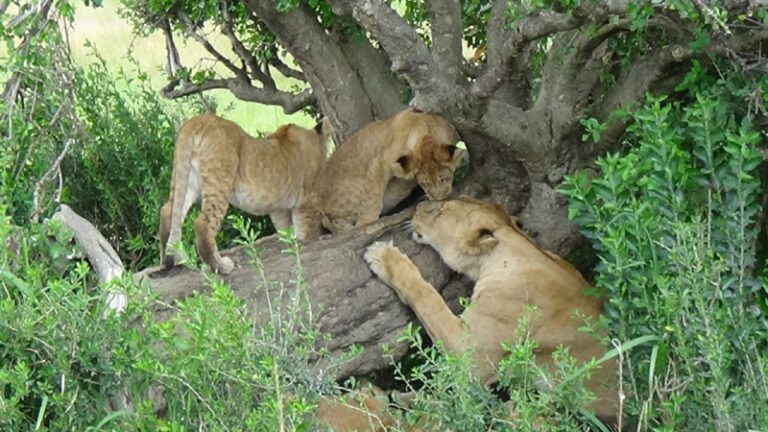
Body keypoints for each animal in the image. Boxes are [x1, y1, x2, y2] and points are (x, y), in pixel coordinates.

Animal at [159, 114, 332, 274]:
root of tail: (196, 120)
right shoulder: (307, 200)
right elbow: (305, 231)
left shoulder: (279, 208)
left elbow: (286, 229)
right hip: (219, 180)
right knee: (203, 223)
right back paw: (221, 266)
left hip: (187, 177)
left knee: (168, 211)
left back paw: (174, 260)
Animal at [318, 109, 464, 233]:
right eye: (425, 184)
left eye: (443, 179)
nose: (439, 199)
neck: (425, 131)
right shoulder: (379, 163)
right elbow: (372, 199)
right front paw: (365, 224)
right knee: (328, 219)